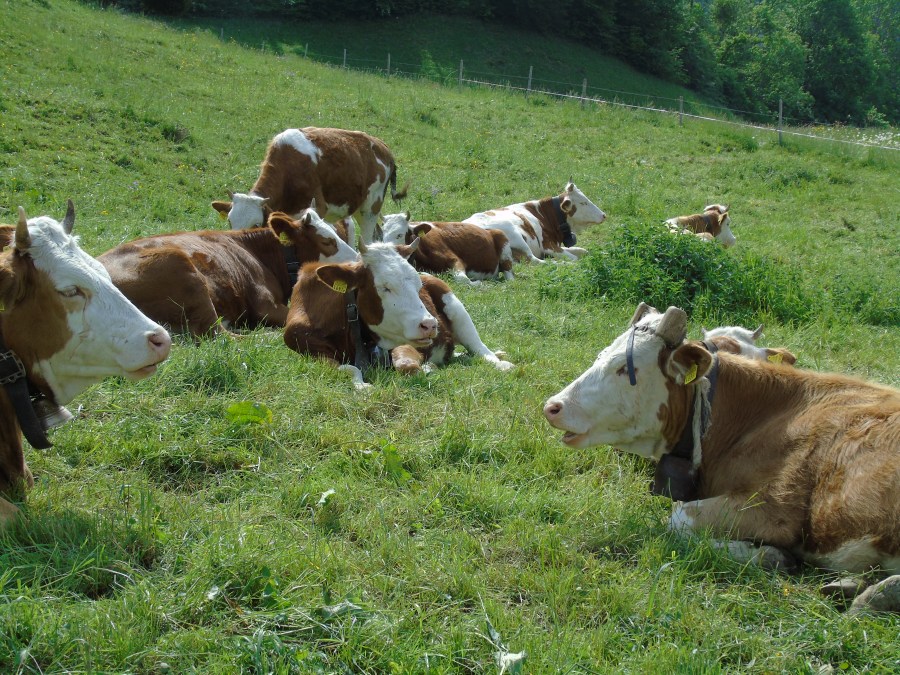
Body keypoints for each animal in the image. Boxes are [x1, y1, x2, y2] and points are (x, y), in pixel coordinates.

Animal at [283, 240, 514, 389]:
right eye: (385, 287)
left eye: (418, 285)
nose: (430, 324)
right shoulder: (310, 351)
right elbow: (348, 368)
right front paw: (361, 386)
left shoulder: (402, 342)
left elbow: (407, 365)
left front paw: (427, 367)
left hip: (455, 306)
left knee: (479, 348)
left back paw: (500, 361)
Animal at [381, 212, 514, 285]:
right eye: (383, 235)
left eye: (399, 234)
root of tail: (488, 230)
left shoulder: (454, 259)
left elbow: (462, 279)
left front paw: (478, 283)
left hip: (502, 240)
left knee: (509, 274)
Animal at [463, 181, 606, 263]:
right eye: (583, 202)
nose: (604, 215)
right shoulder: (548, 246)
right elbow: (575, 257)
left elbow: (582, 250)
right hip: (516, 237)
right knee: (535, 261)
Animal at [543, 303, 899, 609]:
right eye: (600, 356)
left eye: (624, 369)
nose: (553, 406)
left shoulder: (775, 510)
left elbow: (678, 518)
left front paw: (772, 556)